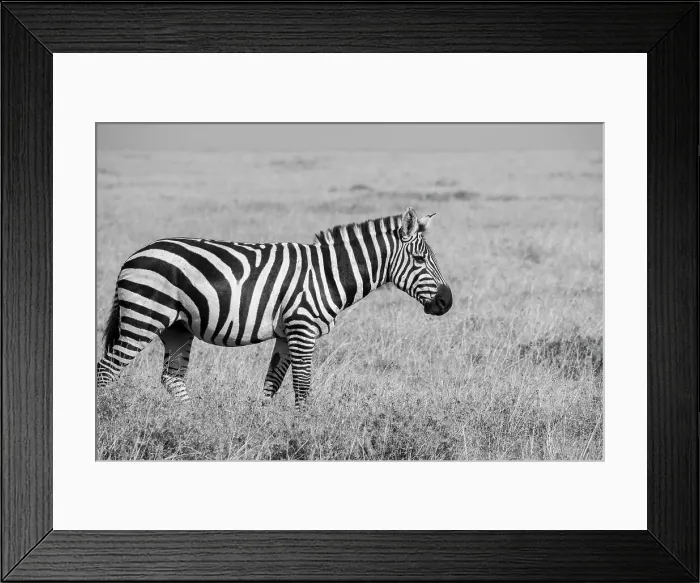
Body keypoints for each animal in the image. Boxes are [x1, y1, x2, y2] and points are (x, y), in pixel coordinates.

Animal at [96, 206, 452, 409]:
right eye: (419, 259)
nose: (447, 302)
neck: (328, 274)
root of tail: (135, 254)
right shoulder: (302, 328)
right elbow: (302, 386)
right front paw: (304, 432)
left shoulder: (286, 333)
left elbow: (272, 384)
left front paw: (264, 426)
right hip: (144, 317)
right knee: (106, 370)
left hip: (177, 327)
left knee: (172, 378)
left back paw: (194, 422)